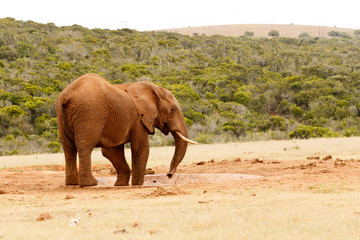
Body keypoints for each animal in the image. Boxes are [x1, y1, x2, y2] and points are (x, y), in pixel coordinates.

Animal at [56, 73, 197, 188]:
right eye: (172, 110)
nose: (169, 175)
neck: (151, 89)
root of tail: (67, 95)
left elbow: (111, 151)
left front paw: (120, 185)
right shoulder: (138, 118)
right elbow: (141, 148)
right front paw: (137, 185)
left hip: (62, 115)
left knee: (68, 149)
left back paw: (72, 183)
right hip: (89, 113)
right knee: (85, 146)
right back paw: (90, 183)